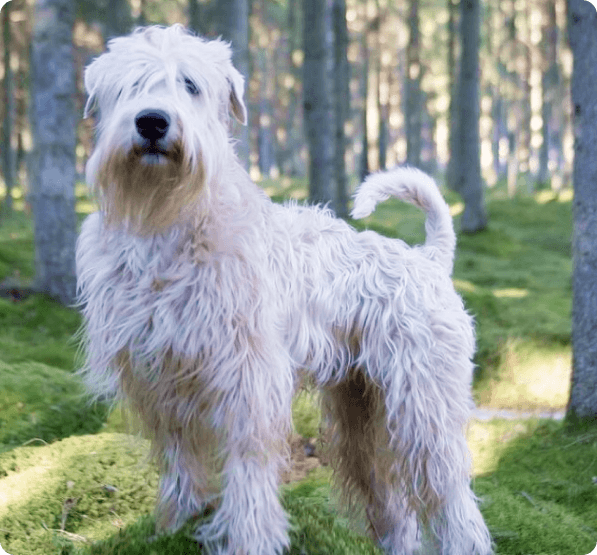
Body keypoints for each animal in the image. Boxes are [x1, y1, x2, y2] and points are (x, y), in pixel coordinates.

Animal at [77, 25, 492, 555]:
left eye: (190, 84)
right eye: (130, 83)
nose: (152, 121)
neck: (167, 223)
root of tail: (429, 258)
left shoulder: (247, 378)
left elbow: (248, 467)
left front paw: (248, 538)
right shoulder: (159, 378)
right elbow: (180, 461)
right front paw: (176, 526)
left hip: (424, 407)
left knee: (450, 496)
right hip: (359, 412)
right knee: (393, 503)